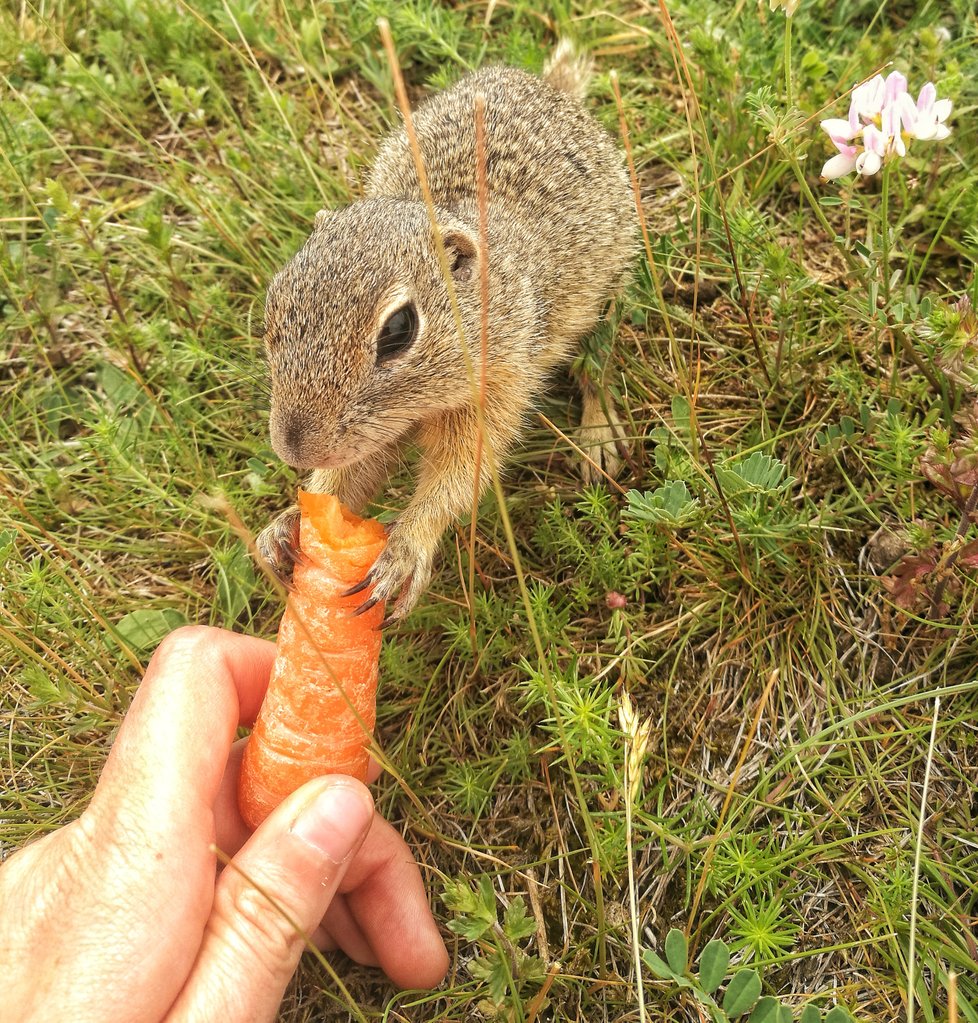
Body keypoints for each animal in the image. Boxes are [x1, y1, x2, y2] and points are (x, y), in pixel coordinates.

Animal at [257, 43, 634, 617]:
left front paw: (403, 554)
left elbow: (456, 479)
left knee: (598, 365)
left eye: (399, 329)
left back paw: (597, 437)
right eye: (273, 307)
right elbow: (347, 482)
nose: (294, 450)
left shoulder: (496, 391)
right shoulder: (377, 431)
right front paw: (286, 526)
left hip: (605, 295)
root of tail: (551, 88)